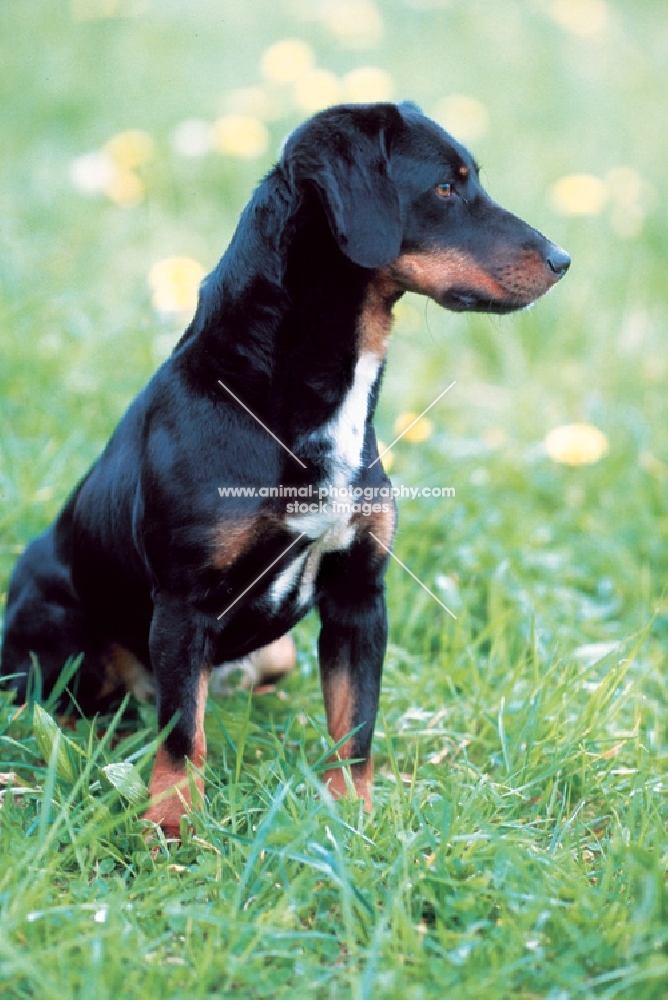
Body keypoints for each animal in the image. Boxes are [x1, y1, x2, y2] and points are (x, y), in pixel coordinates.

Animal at [2, 101, 572, 836]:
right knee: (63, 710)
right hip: (65, 638)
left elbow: (354, 725)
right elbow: (182, 737)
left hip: (274, 650)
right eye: (447, 187)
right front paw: (173, 832)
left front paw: (354, 822)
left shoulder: (360, 597)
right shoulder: (183, 605)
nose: (563, 260)